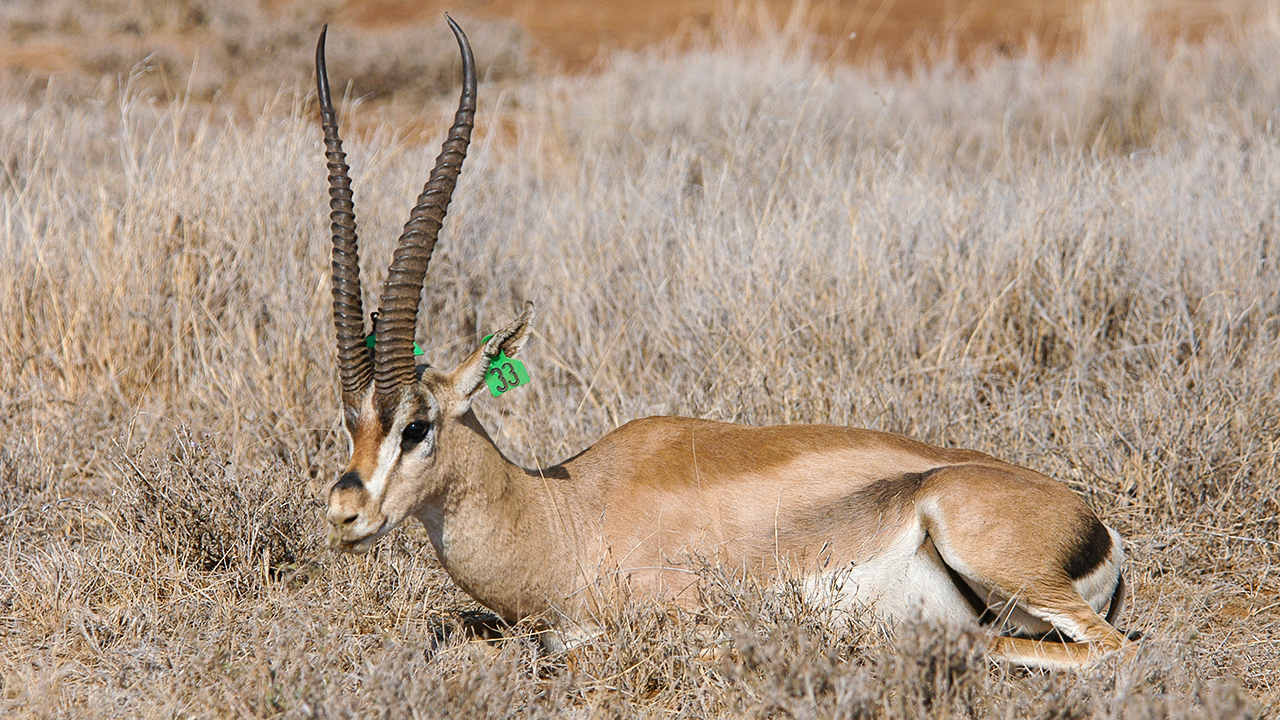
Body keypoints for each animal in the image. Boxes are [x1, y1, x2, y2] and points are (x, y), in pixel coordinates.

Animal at [315, 18, 1133, 668]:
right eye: (349, 424)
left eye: (417, 426)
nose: (344, 514)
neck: (564, 511)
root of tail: (1093, 524)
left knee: (1108, 651)